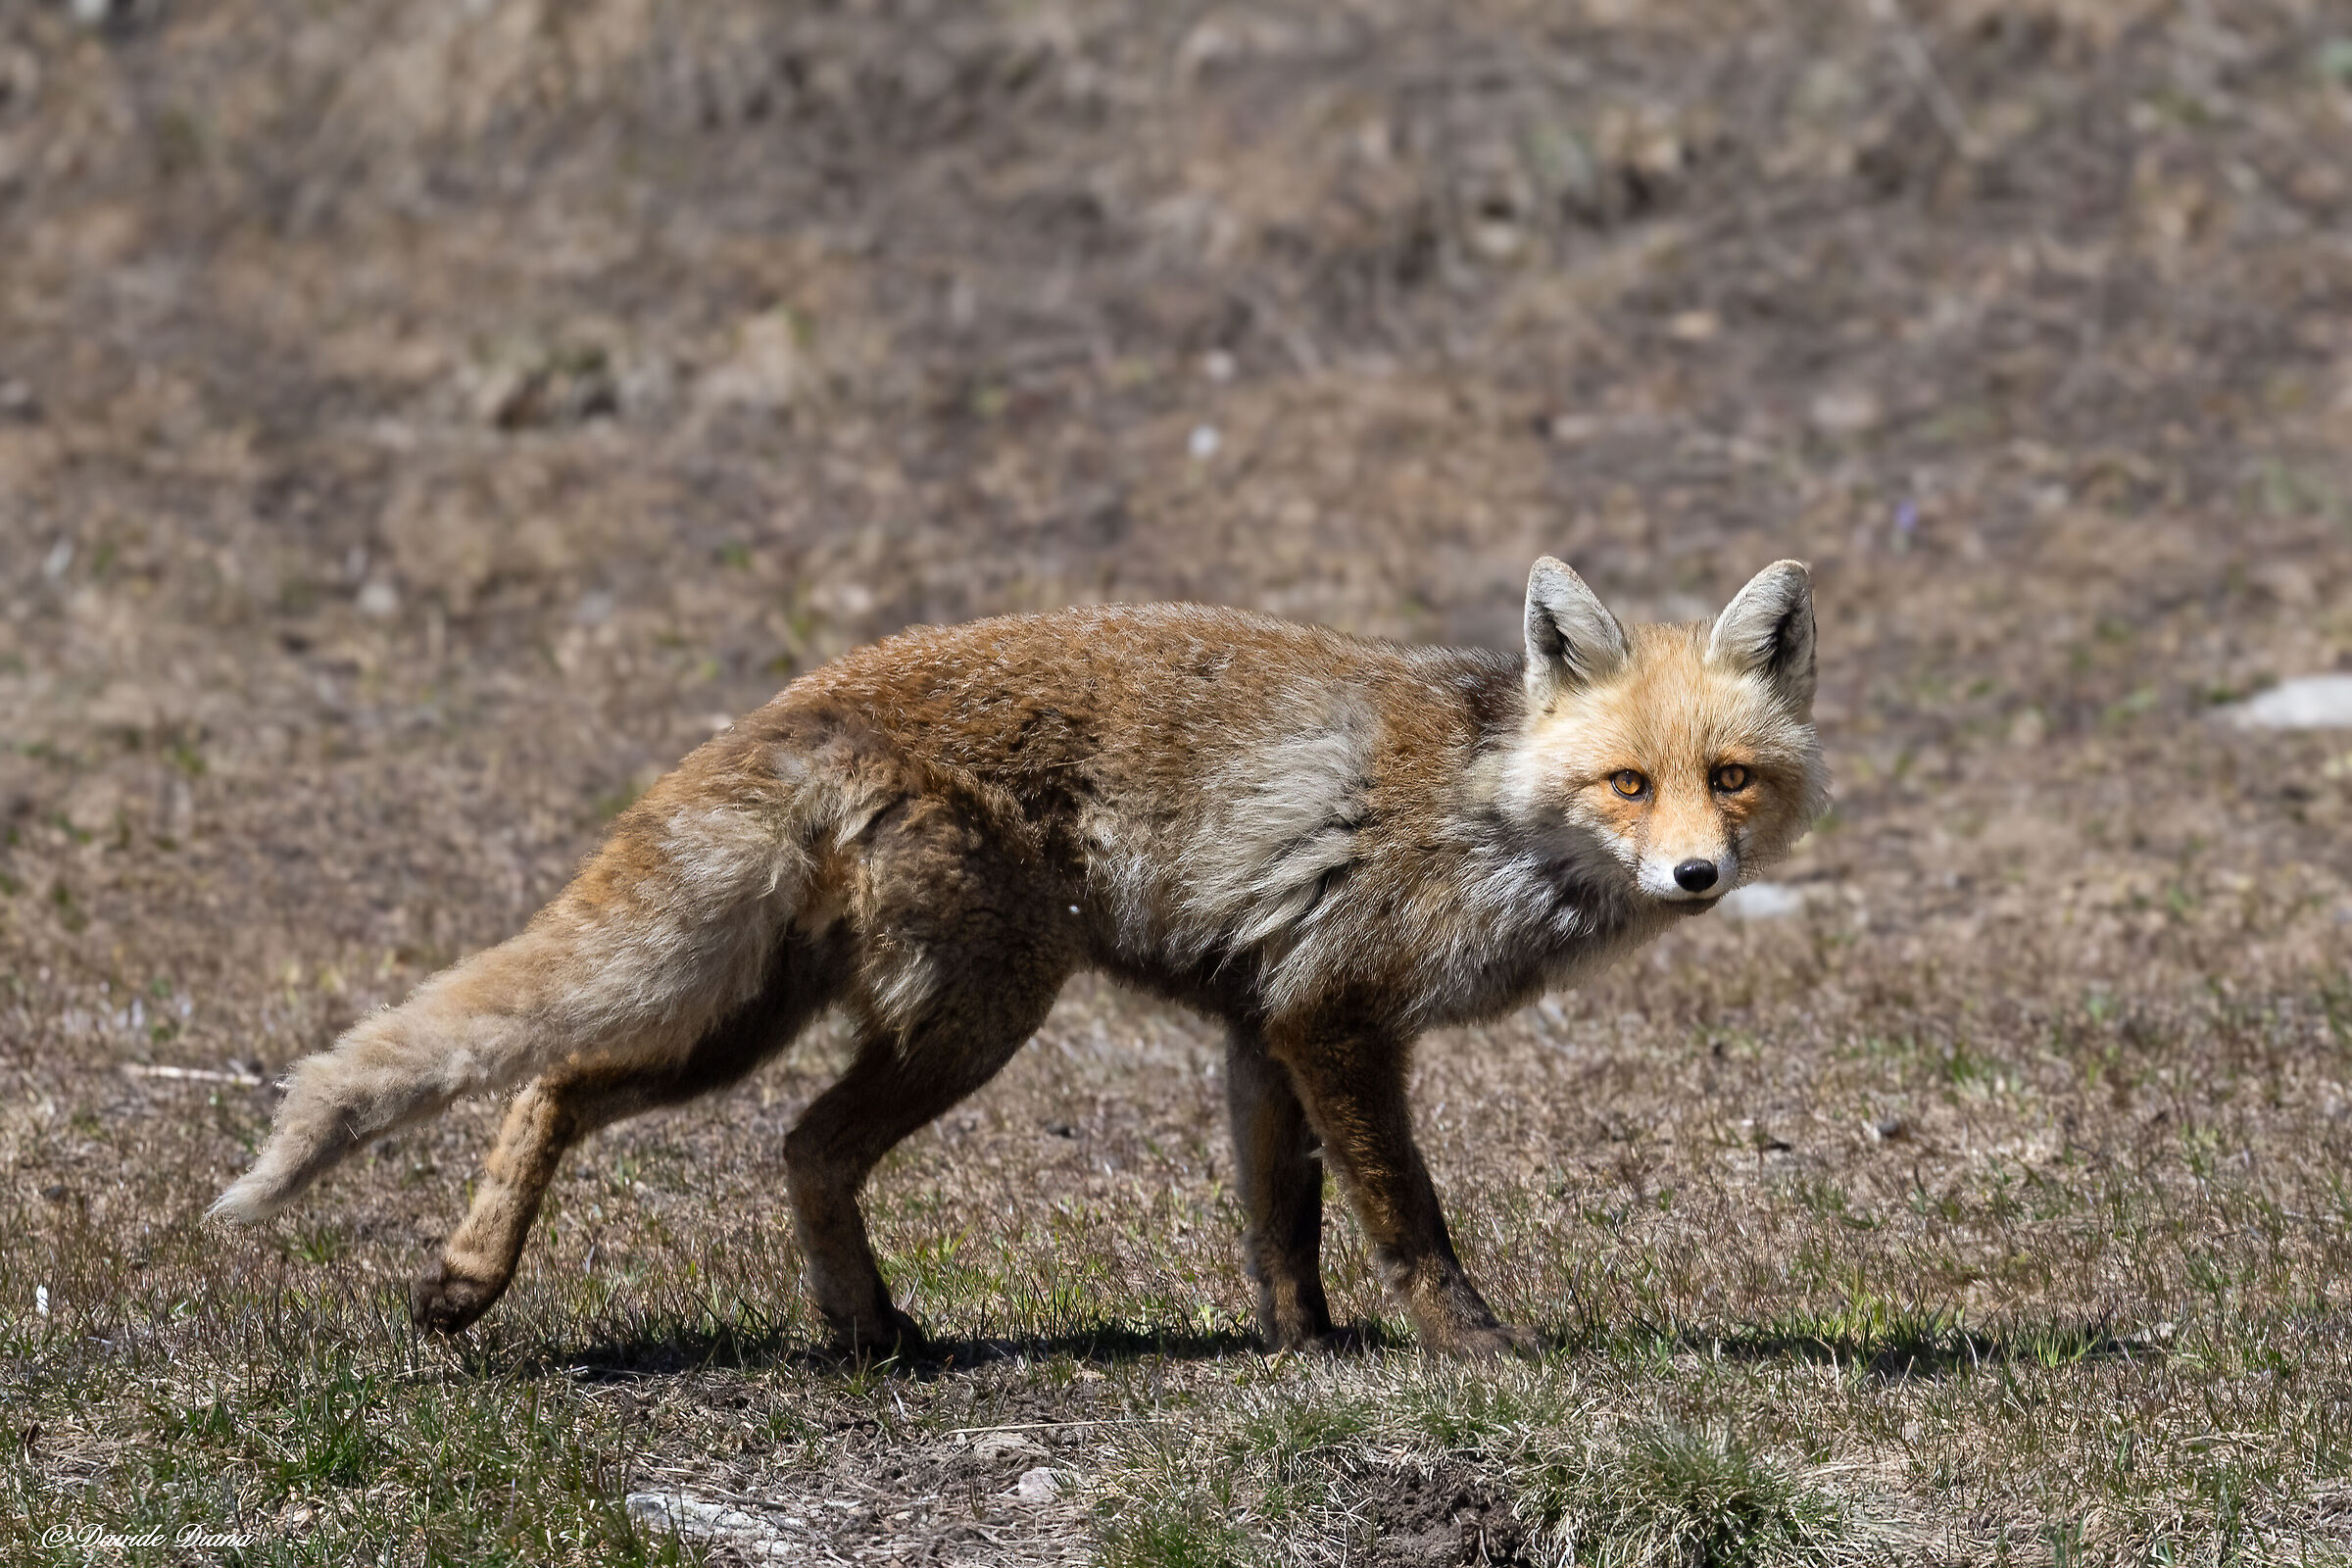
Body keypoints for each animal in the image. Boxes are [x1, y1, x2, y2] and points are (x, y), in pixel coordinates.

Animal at [211, 557, 1827, 1358]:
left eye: (1730, 780)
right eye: (1629, 784)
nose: (1697, 875)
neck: (1488, 810)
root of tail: (806, 696)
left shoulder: (1261, 1022)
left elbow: (1280, 1222)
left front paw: (1304, 1352)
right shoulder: (1336, 1015)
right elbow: (1406, 1217)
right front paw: (1470, 1351)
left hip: (746, 1017)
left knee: (561, 1084)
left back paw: (475, 1283)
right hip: (975, 1015)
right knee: (799, 1140)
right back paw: (863, 1331)